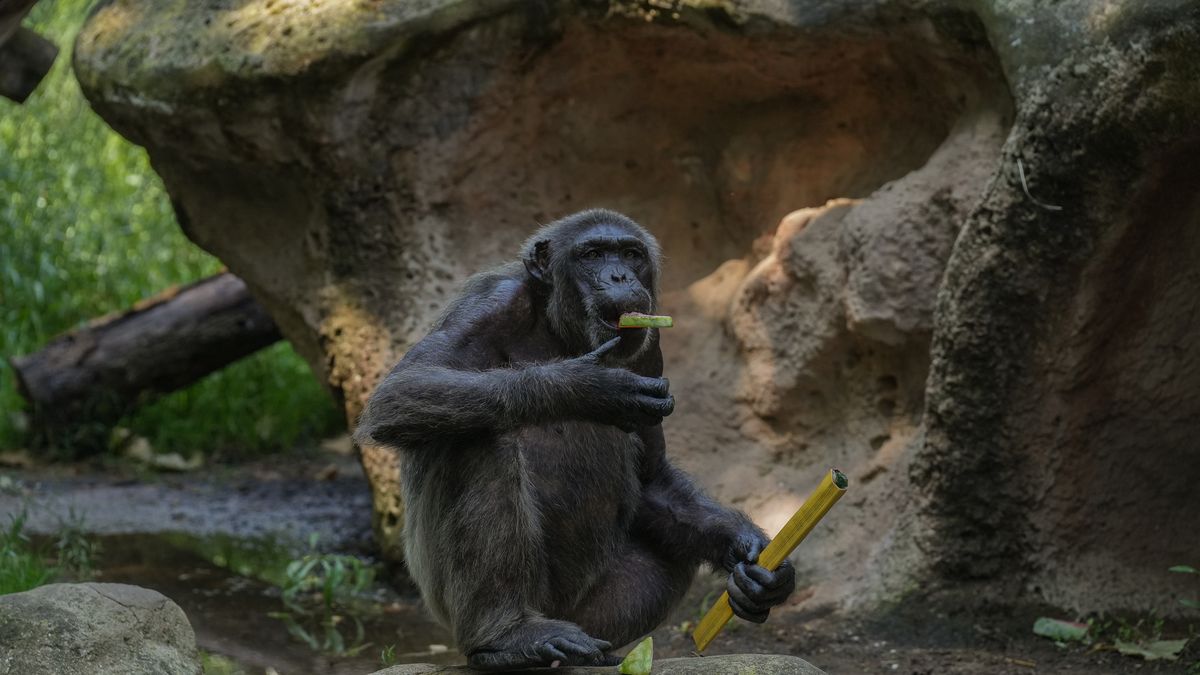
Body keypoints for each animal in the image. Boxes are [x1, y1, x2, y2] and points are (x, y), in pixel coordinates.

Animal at [355, 209, 794, 671]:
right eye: (594, 254)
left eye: (631, 254)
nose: (619, 274)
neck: (558, 329)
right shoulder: (489, 306)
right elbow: (403, 388)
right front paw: (592, 387)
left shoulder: (651, 348)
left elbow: (652, 476)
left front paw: (755, 560)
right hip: (451, 603)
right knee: (473, 435)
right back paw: (509, 637)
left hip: (590, 615)